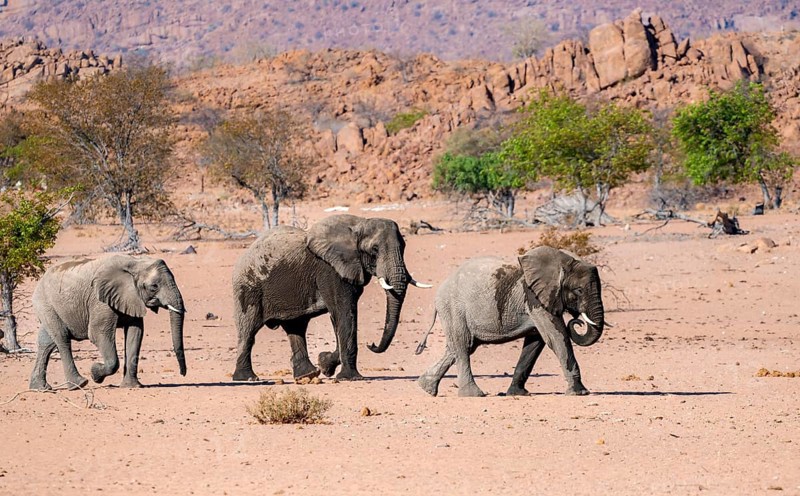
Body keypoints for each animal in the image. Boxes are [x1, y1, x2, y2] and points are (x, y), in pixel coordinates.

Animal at [29, 255, 187, 390]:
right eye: (154, 286)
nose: (183, 373)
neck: (135, 262)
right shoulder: (100, 301)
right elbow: (98, 333)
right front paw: (95, 373)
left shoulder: (132, 297)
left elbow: (135, 333)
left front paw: (132, 386)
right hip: (46, 304)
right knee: (62, 338)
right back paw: (79, 384)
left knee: (46, 342)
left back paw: (40, 388)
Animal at [231, 214, 431, 382]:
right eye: (374, 250)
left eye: (403, 247)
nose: (372, 344)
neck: (360, 224)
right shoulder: (329, 270)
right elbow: (344, 313)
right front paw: (350, 378)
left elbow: (340, 319)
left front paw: (325, 364)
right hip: (248, 287)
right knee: (249, 330)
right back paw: (248, 378)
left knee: (296, 328)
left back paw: (307, 375)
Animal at [416, 246, 607, 397]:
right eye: (579, 290)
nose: (577, 321)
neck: (562, 261)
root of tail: (440, 290)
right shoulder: (534, 298)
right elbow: (557, 338)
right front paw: (580, 392)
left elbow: (535, 343)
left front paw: (517, 393)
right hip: (454, 308)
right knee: (463, 345)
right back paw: (473, 395)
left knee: (458, 347)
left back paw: (426, 387)